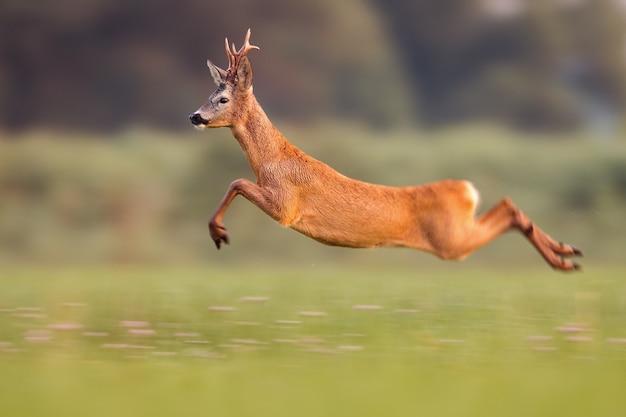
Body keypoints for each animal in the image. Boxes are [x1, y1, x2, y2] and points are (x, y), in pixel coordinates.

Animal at [189, 29, 580, 270]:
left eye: (222, 99)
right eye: (209, 94)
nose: (194, 116)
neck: (272, 160)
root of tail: (466, 190)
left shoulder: (286, 206)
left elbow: (237, 182)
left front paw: (218, 233)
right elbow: (237, 182)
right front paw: (217, 231)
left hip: (451, 241)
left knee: (508, 210)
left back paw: (564, 259)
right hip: (456, 233)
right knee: (508, 205)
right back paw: (567, 253)